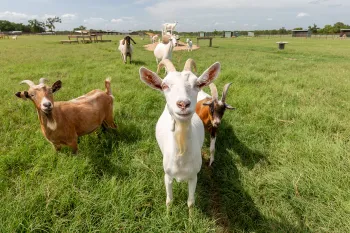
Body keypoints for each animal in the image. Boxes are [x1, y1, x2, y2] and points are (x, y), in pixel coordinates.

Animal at [138, 59, 220, 208]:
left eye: (197, 84)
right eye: (164, 85)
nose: (183, 104)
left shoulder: (194, 176)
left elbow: (191, 203)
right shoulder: (167, 176)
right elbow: (169, 200)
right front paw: (168, 212)